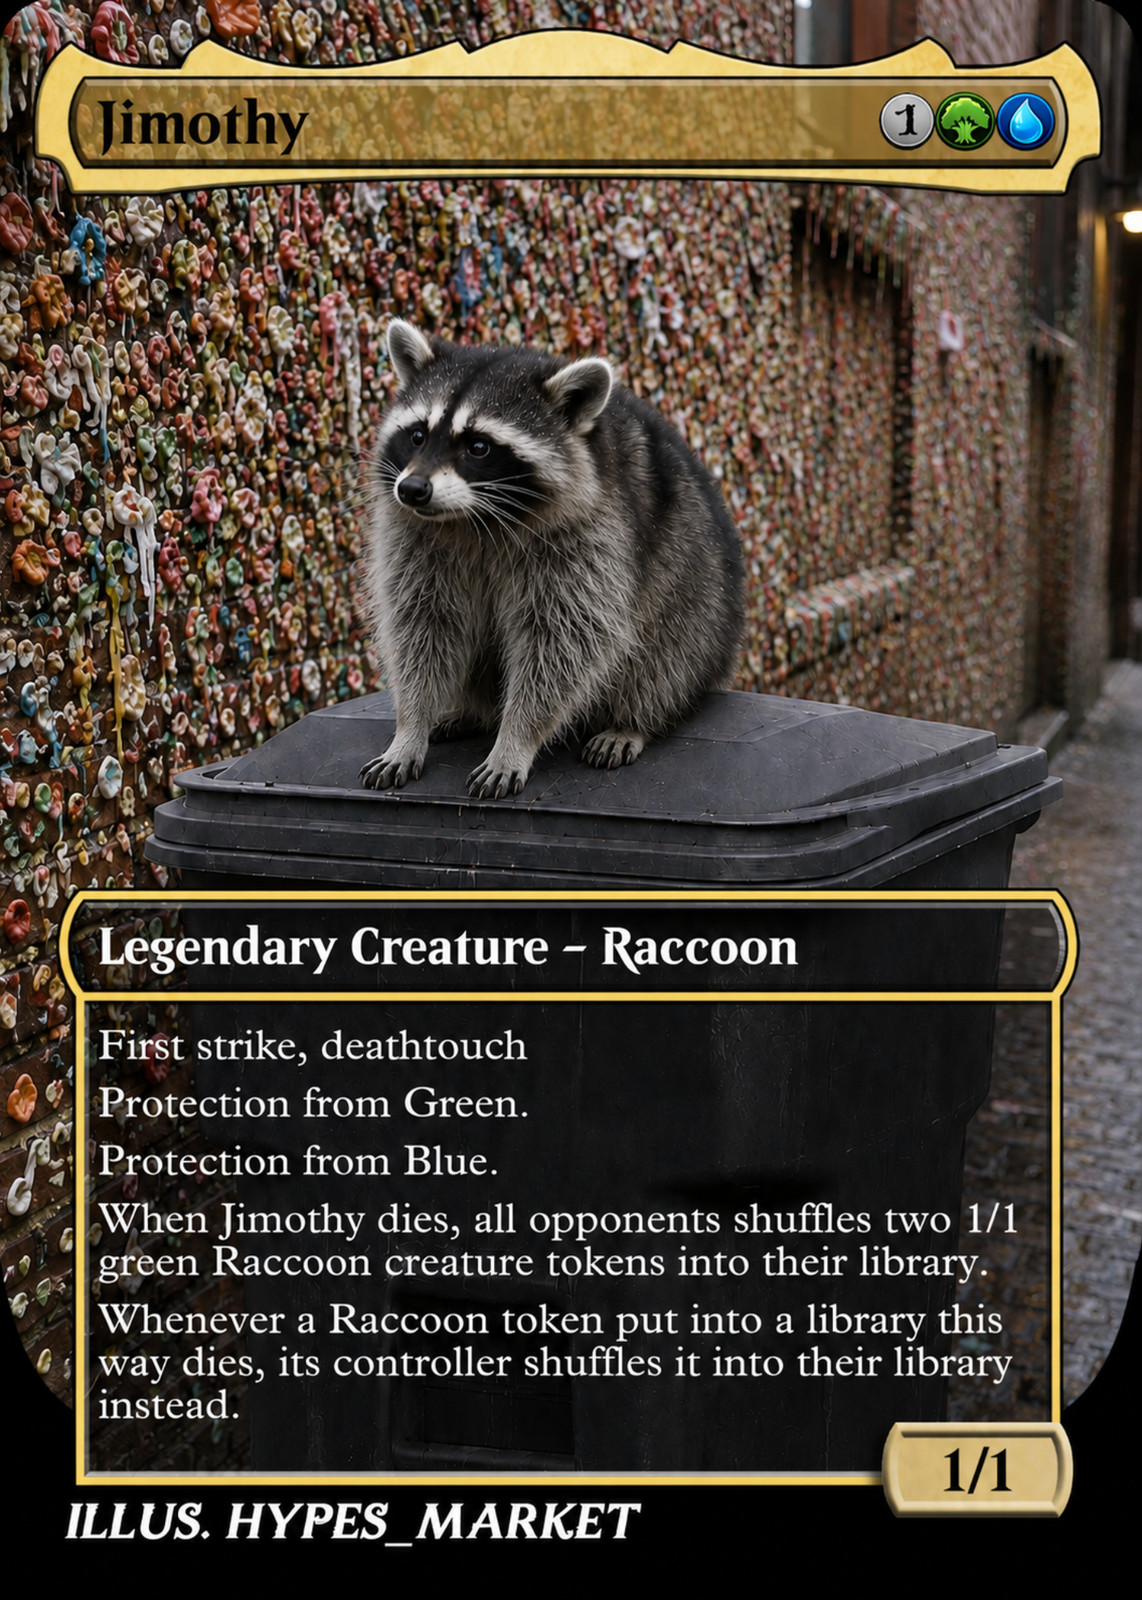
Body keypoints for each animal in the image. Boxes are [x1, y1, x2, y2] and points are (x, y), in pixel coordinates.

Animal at [359, 320, 744, 799]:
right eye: (417, 435)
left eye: (479, 447)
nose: (412, 490)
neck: (472, 519)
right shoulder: (417, 541)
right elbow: (423, 625)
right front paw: (411, 726)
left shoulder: (591, 537)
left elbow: (562, 643)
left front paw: (515, 740)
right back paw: (472, 713)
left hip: (701, 589)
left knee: (667, 653)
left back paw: (633, 720)